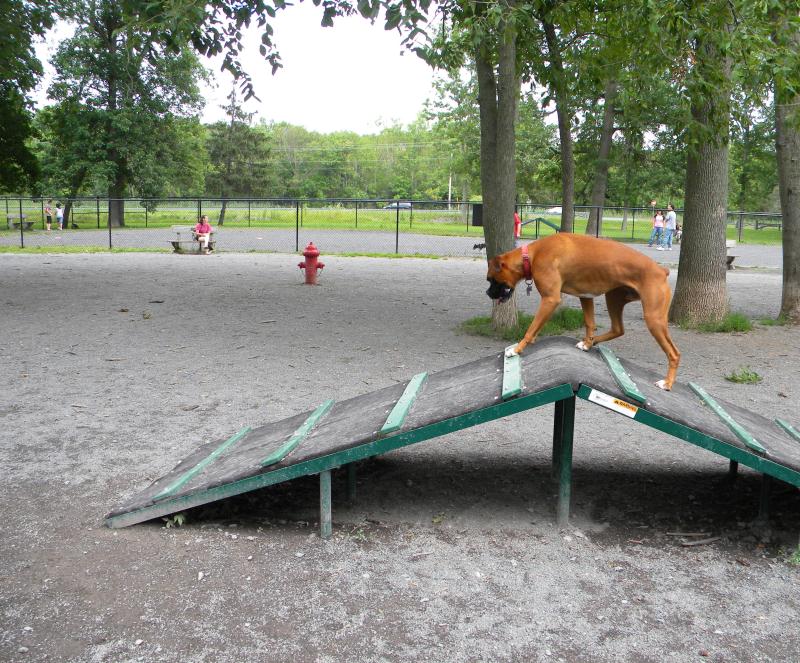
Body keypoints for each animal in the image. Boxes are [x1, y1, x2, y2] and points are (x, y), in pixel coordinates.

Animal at [484, 233, 680, 390]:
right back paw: (591, 343)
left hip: (653, 318)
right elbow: (589, 323)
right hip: (614, 298)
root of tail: (661, 270)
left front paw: (516, 350)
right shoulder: (585, 296)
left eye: (490, 279)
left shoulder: (550, 300)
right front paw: (587, 342)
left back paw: (667, 383)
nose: (487, 293)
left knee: (674, 353)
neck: (531, 255)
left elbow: (531, 329)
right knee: (618, 329)